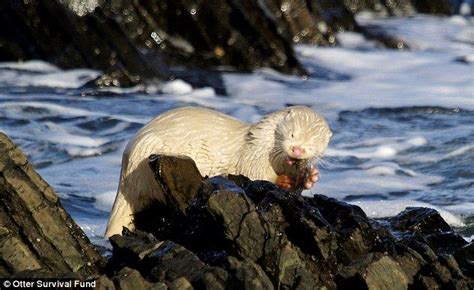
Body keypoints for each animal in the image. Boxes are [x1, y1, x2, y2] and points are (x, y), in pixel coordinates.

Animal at [105, 106, 332, 238]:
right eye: (293, 133)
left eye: (313, 144)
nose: (298, 150)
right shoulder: (253, 154)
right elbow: (254, 173)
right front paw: (282, 181)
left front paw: (310, 177)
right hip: (147, 158)